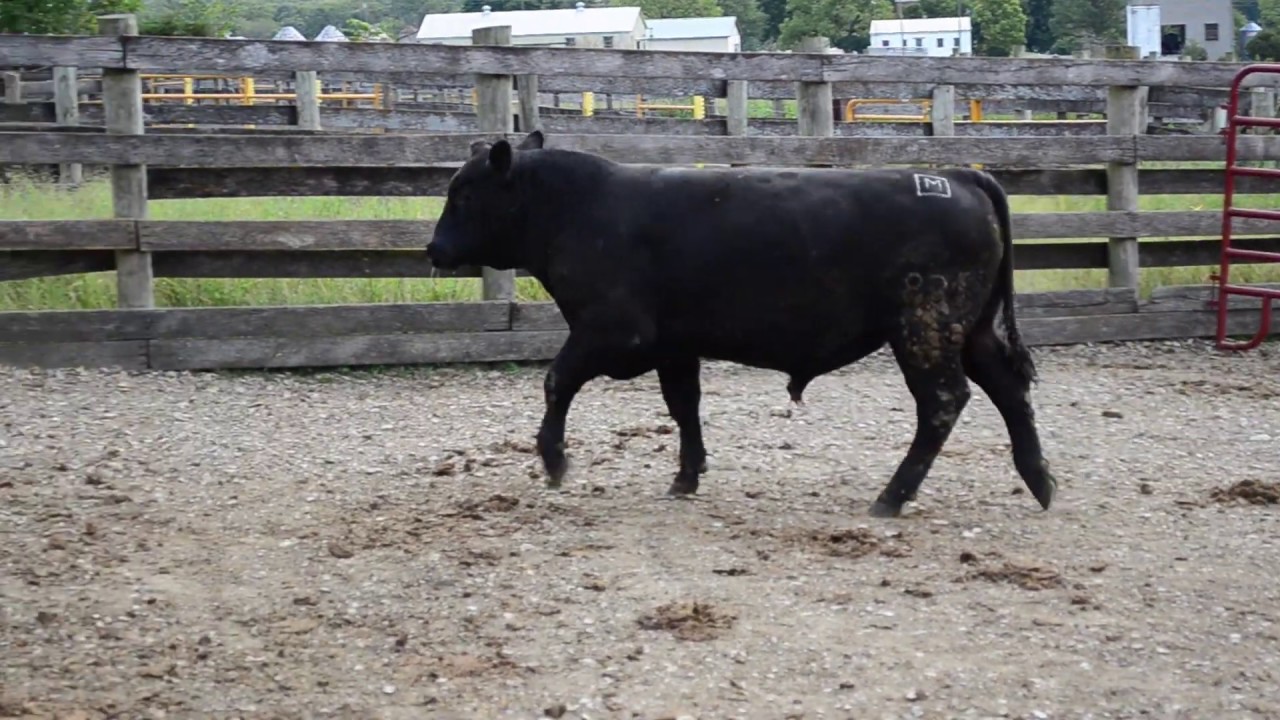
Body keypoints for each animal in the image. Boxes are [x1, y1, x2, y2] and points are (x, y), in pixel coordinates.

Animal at [426, 130, 1058, 518]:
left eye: (464, 193)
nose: (433, 247)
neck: (581, 209)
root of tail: (957, 176)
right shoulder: (674, 345)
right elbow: (684, 406)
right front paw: (686, 477)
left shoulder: (610, 332)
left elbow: (557, 381)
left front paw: (555, 460)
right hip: (971, 331)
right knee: (1008, 390)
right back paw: (1039, 480)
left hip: (925, 329)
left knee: (944, 402)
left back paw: (892, 496)